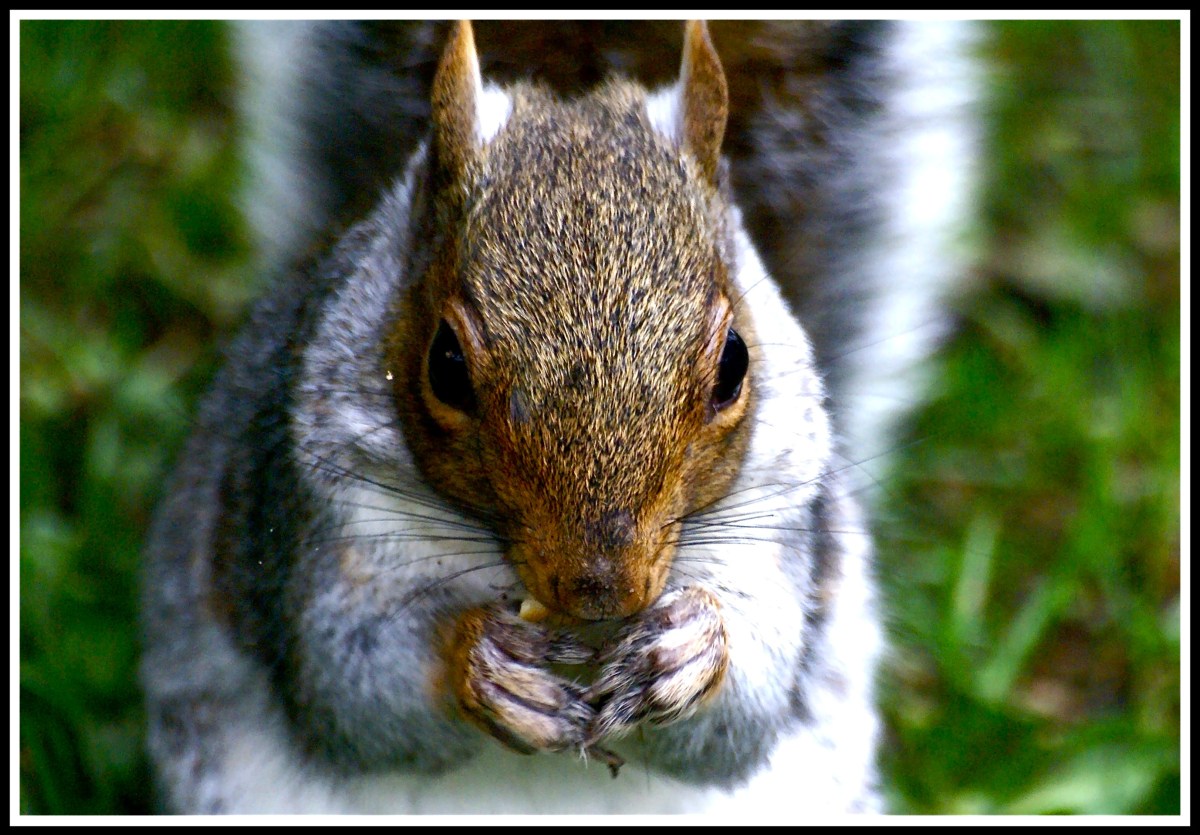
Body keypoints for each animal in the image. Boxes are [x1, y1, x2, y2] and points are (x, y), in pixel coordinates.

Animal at [142, 20, 977, 815]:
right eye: (446, 365)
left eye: (736, 363)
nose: (601, 587)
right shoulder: (308, 520)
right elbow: (350, 690)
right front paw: (483, 663)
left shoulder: (778, 531)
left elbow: (744, 716)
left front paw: (691, 650)